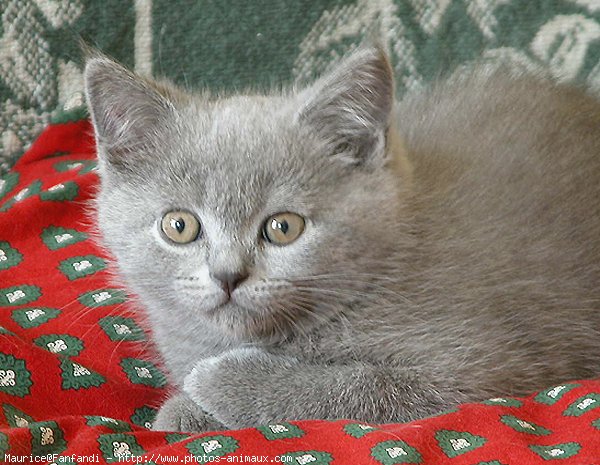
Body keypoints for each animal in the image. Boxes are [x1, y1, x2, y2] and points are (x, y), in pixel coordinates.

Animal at [83, 47, 600, 432]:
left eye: (284, 227)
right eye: (180, 226)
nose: (228, 275)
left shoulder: (477, 369)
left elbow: (356, 387)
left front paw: (219, 383)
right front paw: (185, 408)